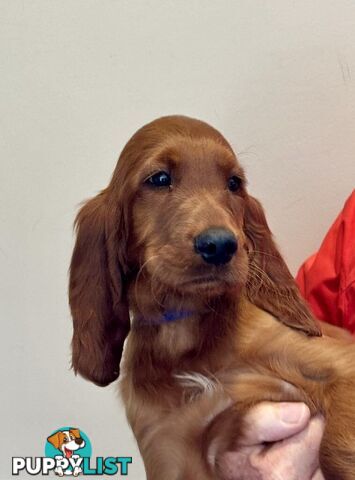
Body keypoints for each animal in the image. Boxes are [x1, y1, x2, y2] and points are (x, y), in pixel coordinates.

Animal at [69, 114, 355, 478]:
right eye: (159, 179)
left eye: (234, 184)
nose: (220, 245)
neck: (185, 331)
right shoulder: (171, 452)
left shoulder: (342, 366)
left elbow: (334, 446)